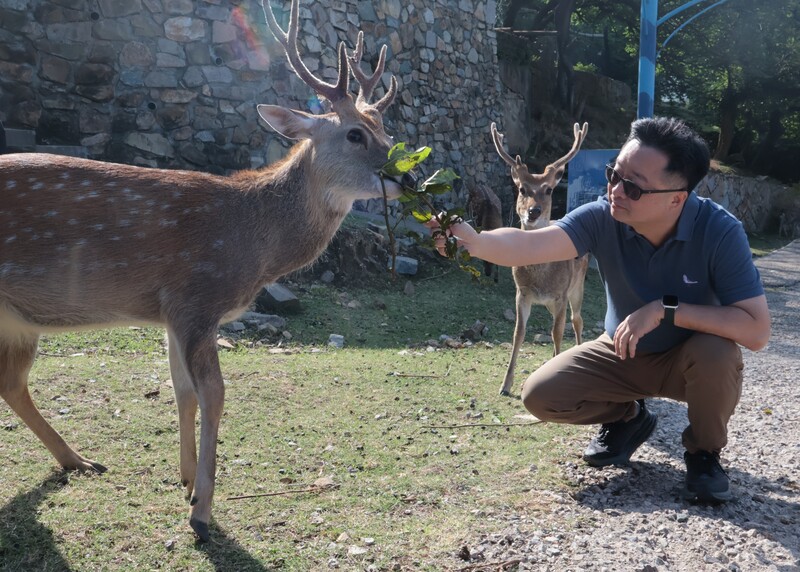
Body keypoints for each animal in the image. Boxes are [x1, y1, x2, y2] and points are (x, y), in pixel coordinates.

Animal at [0, 0, 410, 540]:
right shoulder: (196, 297)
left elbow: (182, 392)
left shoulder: (170, 312)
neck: (251, 242)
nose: (408, 177)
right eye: (355, 133)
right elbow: (213, 394)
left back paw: (78, 460)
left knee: (11, 383)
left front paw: (187, 479)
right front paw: (203, 511)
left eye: (388, 132)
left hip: (17, 319)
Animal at [490, 120, 592, 398]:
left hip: (577, 285)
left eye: (548, 189)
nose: (533, 212)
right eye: (522, 189)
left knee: (576, 320)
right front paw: (505, 385)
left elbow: (557, 333)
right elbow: (518, 333)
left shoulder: (560, 294)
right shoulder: (522, 293)